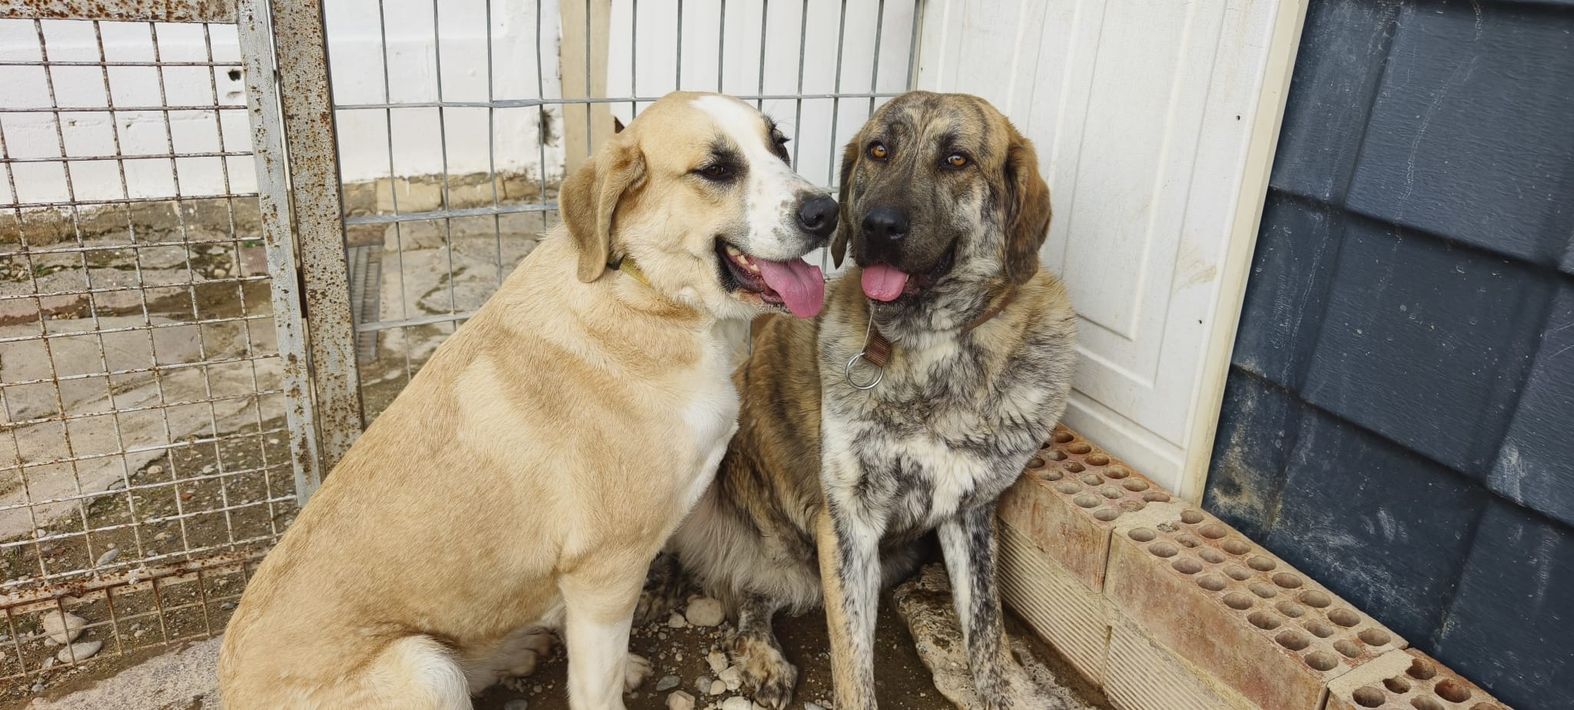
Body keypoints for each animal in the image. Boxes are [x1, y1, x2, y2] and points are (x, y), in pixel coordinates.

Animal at [218, 92, 836, 710]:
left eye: (779, 144)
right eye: (716, 169)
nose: (826, 212)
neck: (646, 294)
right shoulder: (606, 569)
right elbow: (595, 684)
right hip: (424, 668)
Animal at [655, 91, 1077, 709]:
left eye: (957, 160)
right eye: (878, 150)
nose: (876, 225)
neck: (930, 347)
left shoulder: (970, 511)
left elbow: (987, 634)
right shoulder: (848, 523)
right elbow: (853, 663)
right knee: (733, 585)